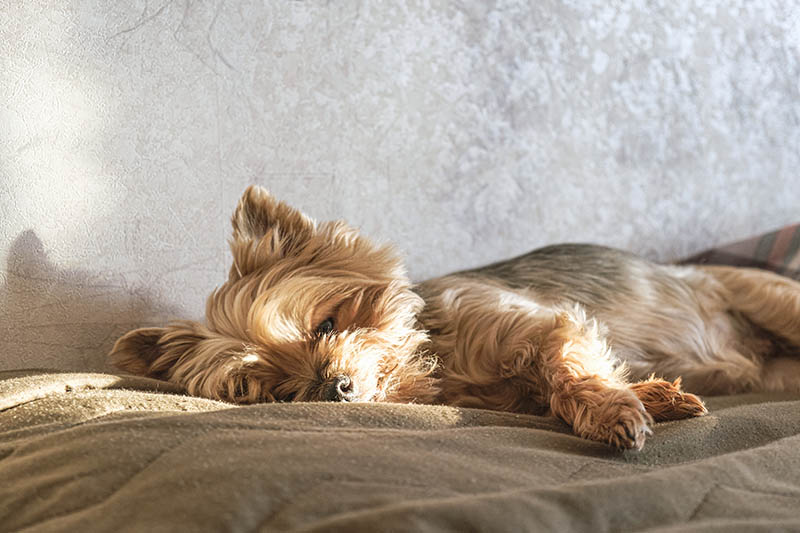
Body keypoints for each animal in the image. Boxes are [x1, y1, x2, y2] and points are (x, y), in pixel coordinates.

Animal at [109, 187, 800, 448]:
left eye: (325, 325)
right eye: (277, 390)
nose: (335, 388)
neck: (440, 359)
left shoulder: (544, 325)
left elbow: (568, 370)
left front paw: (614, 412)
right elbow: (560, 388)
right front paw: (656, 397)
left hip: (766, 298)